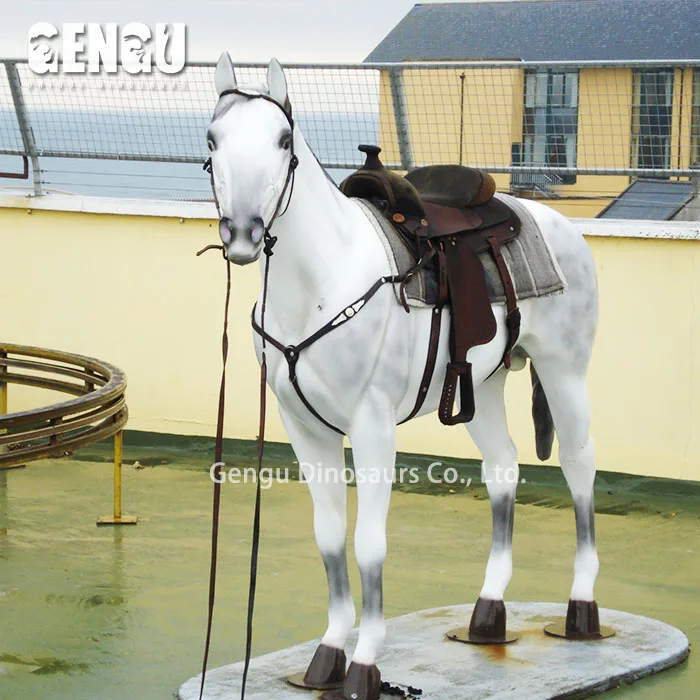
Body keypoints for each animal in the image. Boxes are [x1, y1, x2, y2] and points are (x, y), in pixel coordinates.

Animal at [205, 52, 601, 700]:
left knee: (579, 466)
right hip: (483, 383)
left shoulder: (372, 427)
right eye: (212, 140)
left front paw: (365, 661)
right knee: (503, 467)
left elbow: (369, 544)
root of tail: (555, 221)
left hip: (565, 370)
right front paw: (328, 653)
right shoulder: (303, 428)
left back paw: (582, 606)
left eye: (284, 139)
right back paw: (488, 613)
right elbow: (329, 536)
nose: (241, 234)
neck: (324, 278)